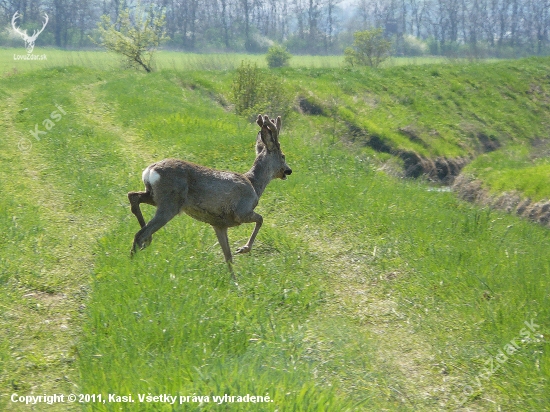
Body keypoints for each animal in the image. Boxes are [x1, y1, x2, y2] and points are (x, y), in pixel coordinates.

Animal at [129, 114, 294, 278]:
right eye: (283, 156)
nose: (289, 170)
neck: (254, 184)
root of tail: (150, 171)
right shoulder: (242, 211)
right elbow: (261, 219)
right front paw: (243, 249)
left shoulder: (219, 224)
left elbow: (228, 256)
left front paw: (234, 281)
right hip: (170, 202)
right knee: (140, 233)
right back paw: (134, 261)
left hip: (155, 196)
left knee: (133, 196)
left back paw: (144, 244)